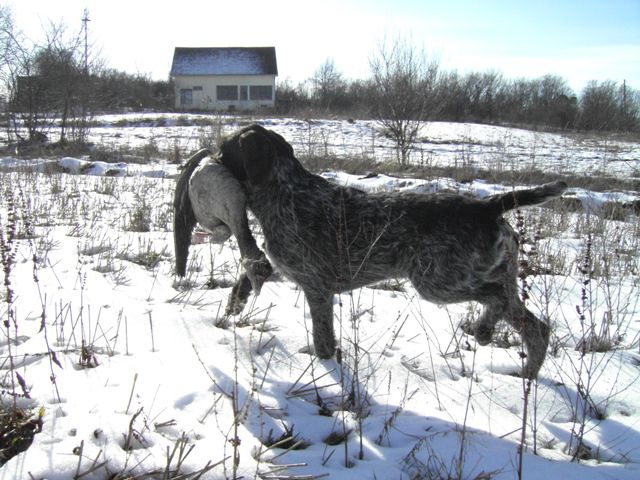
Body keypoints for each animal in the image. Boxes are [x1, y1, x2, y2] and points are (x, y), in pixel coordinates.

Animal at [174, 124, 564, 378]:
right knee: (536, 327)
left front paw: (326, 367)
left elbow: (323, 339)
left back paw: (484, 330)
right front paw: (235, 303)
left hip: (438, 280)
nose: (206, 156)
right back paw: (526, 374)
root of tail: (487, 206)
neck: (285, 190)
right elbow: (252, 274)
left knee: (495, 298)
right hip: (493, 275)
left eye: (224, 147)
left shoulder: (317, 287)